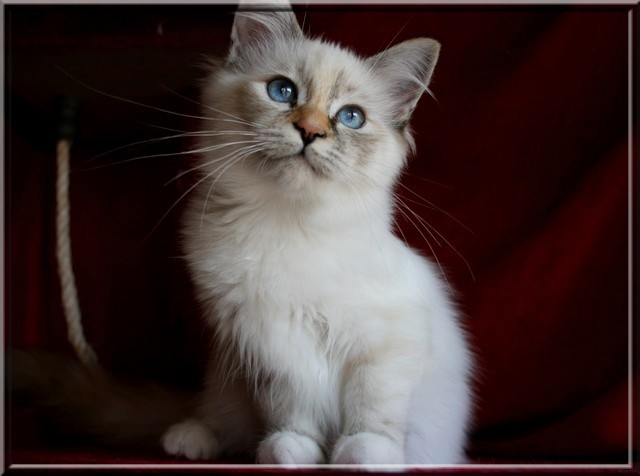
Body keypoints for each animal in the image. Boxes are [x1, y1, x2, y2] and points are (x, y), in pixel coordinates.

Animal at [158, 2, 472, 464]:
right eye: (282, 91)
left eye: (351, 117)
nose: (310, 131)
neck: (287, 221)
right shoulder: (267, 346)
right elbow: (291, 409)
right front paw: (293, 450)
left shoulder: (387, 342)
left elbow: (372, 406)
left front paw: (361, 454)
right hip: (225, 378)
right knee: (221, 420)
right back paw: (190, 439)